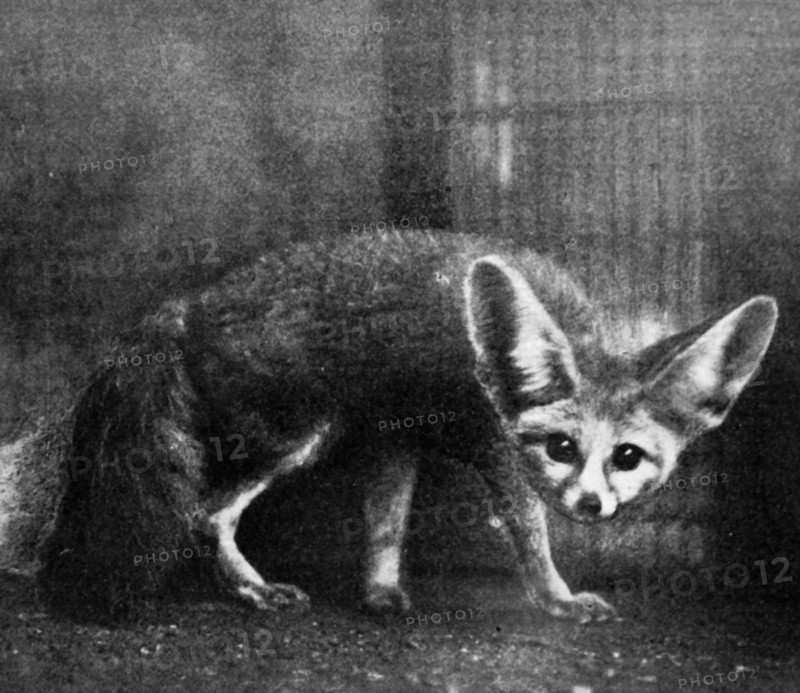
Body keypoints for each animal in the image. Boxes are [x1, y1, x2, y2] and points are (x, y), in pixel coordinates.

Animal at [37, 229, 777, 622]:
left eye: (628, 456)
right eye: (561, 448)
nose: (592, 504)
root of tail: (188, 303)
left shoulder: (396, 438)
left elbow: (386, 524)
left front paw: (380, 589)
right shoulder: (497, 452)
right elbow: (531, 536)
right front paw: (558, 597)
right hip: (302, 436)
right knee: (206, 513)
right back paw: (253, 589)